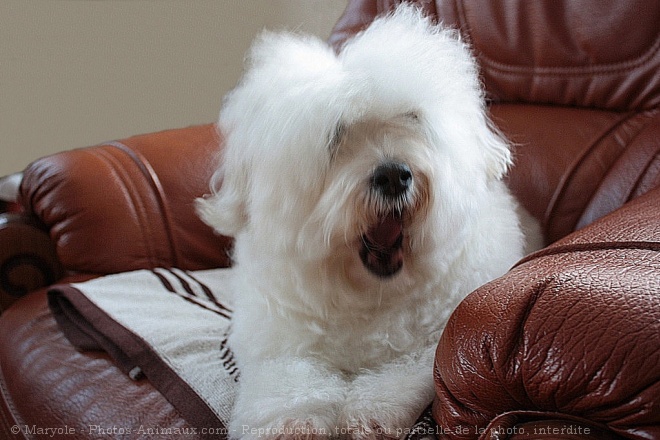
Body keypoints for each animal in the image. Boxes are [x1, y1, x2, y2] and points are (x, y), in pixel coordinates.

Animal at [197, 4, 540, 440]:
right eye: (335, 136)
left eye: (412, 117)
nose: (393, 175)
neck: (368, 294)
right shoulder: (280, 344)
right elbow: (288, 384)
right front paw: (291, 424)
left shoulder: (431, 341)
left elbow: (398, 376)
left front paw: (368, 415)